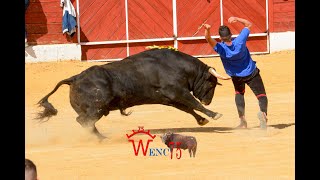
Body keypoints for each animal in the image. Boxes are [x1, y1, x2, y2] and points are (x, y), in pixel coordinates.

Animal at [35, 47, 222, 139]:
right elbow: (193, 103)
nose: (208, 101)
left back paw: (102, 137)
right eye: (211, 84)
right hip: (97, 108)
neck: (176, 66)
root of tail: (74, 78)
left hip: (95, 109)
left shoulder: (169, 98)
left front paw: (203, 120)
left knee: (85, 121)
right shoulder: (177, 92)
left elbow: (188, 108)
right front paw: (214, 114)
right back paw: (100, 139)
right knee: (83, 120)